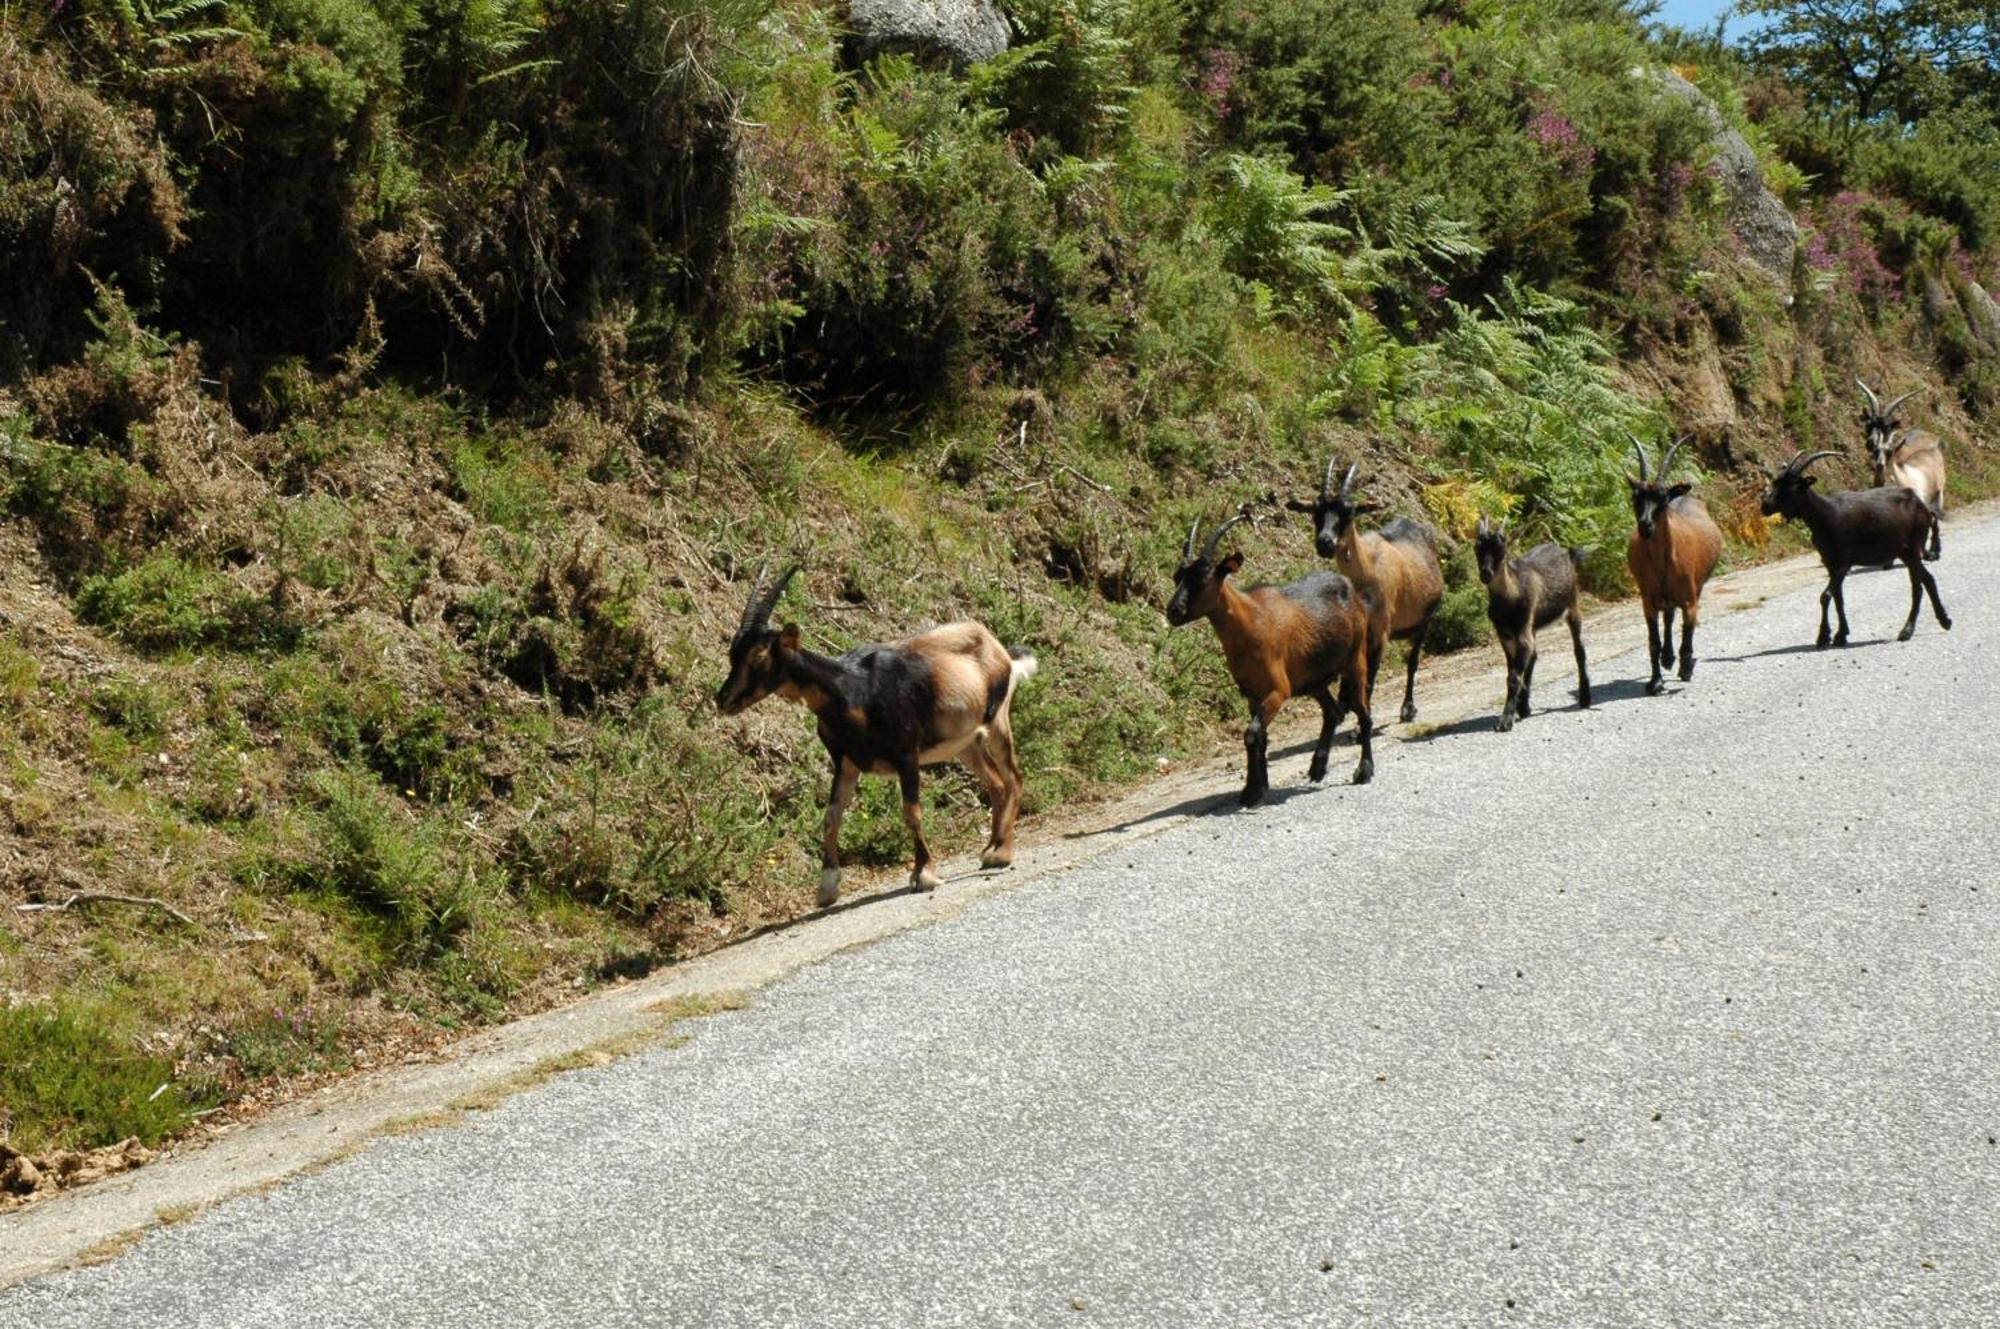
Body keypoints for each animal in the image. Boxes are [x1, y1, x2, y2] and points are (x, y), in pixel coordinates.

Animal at [712, 564, 1040, 908]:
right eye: (733, 654)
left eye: (760, 657)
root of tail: (1000, 650)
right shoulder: (846, 761)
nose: (723, 699)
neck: (851, 689)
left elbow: (911, 812)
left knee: (1013, 777)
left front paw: (924, 873)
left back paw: (1002, 853)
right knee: (996, 782)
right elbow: (831, 816)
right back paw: (992, 847)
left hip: (997, 719)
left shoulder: (906, 754)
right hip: (967, 742)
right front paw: (827, 888)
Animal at [1168, 512, 1384, 804]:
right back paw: (1318, 767)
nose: (1173, 611)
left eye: (1202, 580)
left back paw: (1364, 770)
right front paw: (1256, 787)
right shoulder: (1251, 693)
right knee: (1332, 712)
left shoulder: (1278, 690)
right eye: (1177, 577)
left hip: (1355, 660)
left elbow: (1251, 734)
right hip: (1313, 678)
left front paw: (1252, 792)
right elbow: (1260, 738)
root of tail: (1349, 586)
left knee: (1363, 712)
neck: (1250, 624)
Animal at [1472, 516, 1592, 728]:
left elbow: (1514, 676)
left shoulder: (1523, 625)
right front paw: (1518, 709)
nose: (1486, 574)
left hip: (1572, 604)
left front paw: (1505, 720)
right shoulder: (1504, 634)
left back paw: (1585, 697)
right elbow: (1514, 670)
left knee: (1579, 649)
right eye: (1477, 548)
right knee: (1534, 656)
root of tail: (1566, 552)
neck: (1510, 597)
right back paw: (1525, 706)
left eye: (1502, 549)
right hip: (1534, 625)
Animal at [1760, 452, 1944, 648]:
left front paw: (1824, 636)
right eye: (1776, 483)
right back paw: (1945, 620)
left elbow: (1826, 596)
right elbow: (1838, 598)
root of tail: (1921, 505)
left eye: (1793, 487)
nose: (1765, 506)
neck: (1825, 515)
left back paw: (1906, 631)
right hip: (1905, 553)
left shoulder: (1843, 563)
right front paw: (1841, 635)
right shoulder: (1830, 563)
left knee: (1917, 587)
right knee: (1928, 580)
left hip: (1914, 546)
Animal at [1848, 378, 1944, 560]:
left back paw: (1934, 550)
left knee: (1935, 516)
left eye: (1886, 426)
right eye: (1869, 424)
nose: (1871, 441)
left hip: (1938, 491)